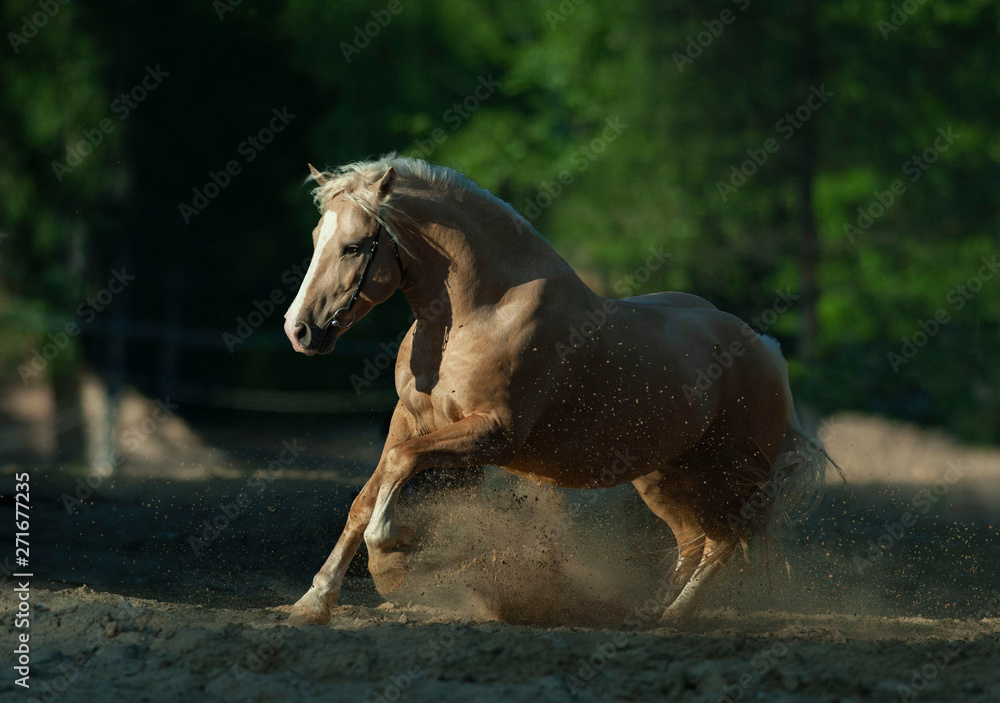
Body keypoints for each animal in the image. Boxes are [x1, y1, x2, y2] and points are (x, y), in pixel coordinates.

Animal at [282, 155, 836, 627]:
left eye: (355, 246)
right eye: (314, 237)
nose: (299, 330)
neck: (480, 313)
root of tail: (766, 349)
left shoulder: (492, 434)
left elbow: (399, 468)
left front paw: (393, 561)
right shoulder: (410, 421)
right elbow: (366, 497)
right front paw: (313, 603)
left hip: (728, 474)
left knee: (723, 542)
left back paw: (673, 617)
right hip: (664, 475)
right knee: (693, 542)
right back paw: (641, 612)